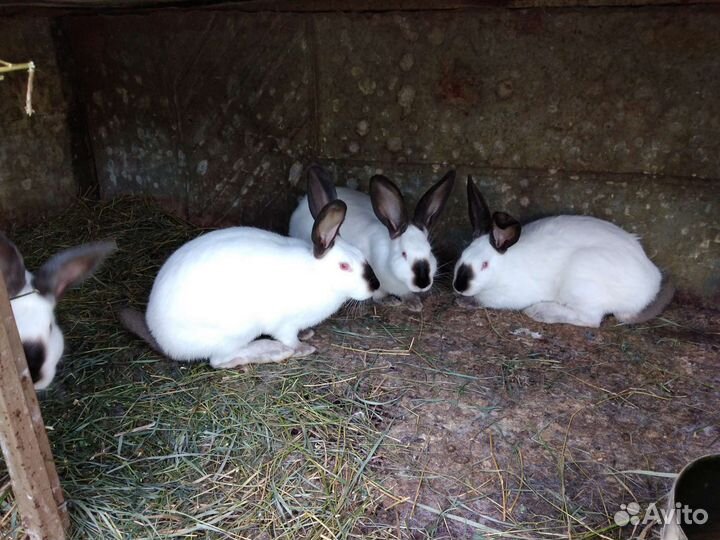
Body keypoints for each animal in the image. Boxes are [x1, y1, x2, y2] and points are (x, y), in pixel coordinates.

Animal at [119, 195, 379, 369]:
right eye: (344, 266)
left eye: (361, 255)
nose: (374, 286)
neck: (317, 273)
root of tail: (162, 340)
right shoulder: (284, 324)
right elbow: (290, 338)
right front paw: (302, 348)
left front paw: (307, 334)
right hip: (233, 333)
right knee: (218, 361)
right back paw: (272, 352)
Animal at [289, 165, 455, 312]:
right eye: (404, 254)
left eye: (430, 251)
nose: (423, 283)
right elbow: (377, 294)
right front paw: (390, 300)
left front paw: (414, 302)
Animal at [452, 176, 674, 328]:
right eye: (462, 254)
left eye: (485, 264)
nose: (459, 287)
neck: (504, 268)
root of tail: (650, 287)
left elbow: (483, 300)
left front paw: (466, 301)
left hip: (582, 280)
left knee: (590, 319)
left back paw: (539, 312)